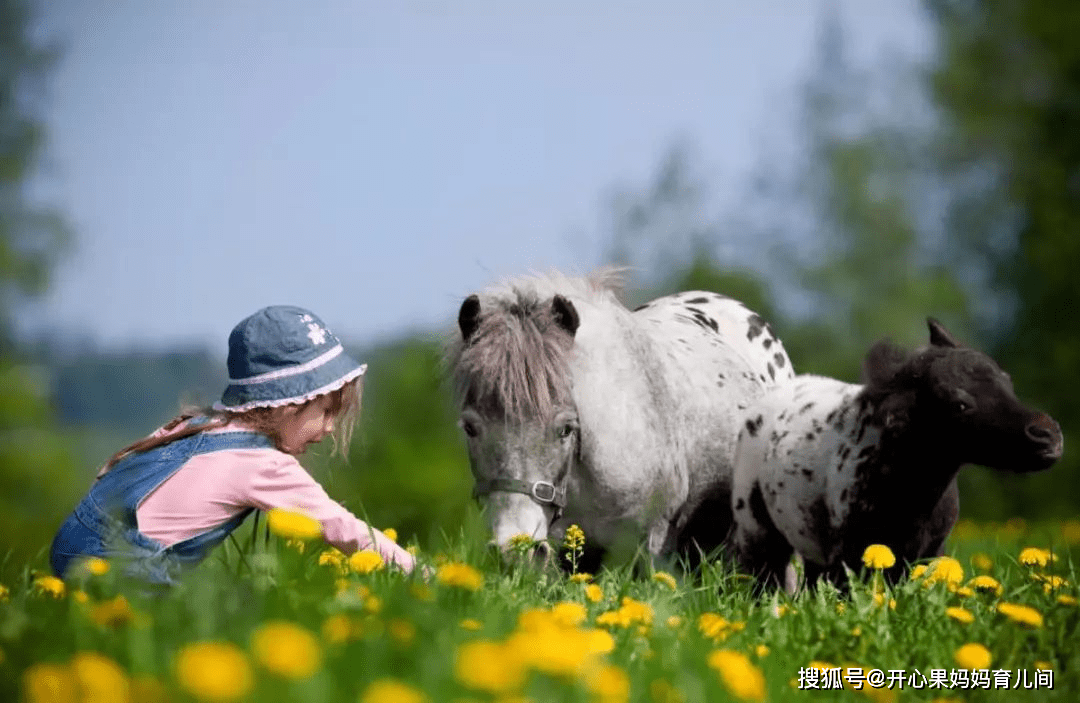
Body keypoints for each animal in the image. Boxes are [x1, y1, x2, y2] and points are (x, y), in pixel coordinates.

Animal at [725, 317, 1062, 587]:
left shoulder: (927, 551)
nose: (1048, 435)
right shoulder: (849, 555)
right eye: (960, 404)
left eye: (1007, 381)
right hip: (757, 529)